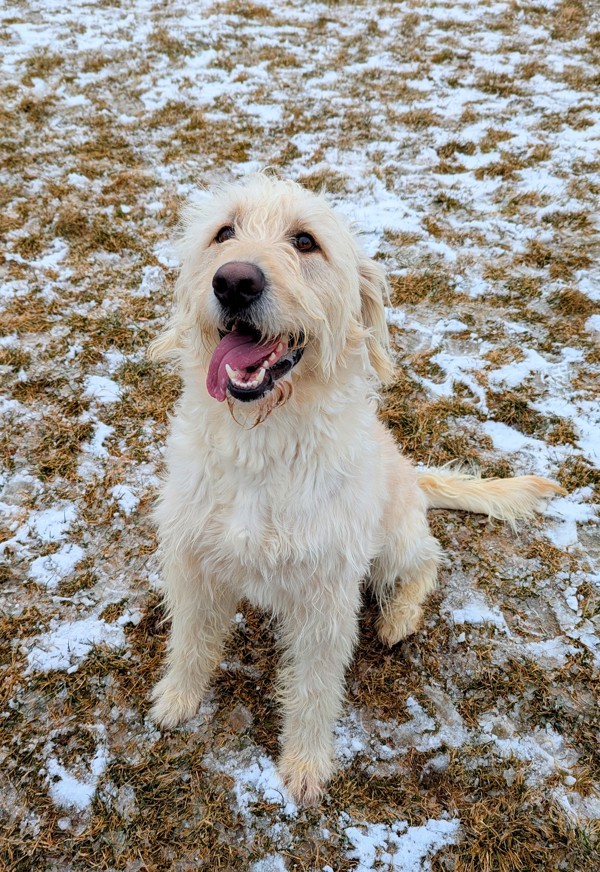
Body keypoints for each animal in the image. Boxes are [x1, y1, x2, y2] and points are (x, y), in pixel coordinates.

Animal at [148, 172, 564, 804]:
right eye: (223, 233)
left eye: (305, 241)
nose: (234, 281)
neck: (262, 443)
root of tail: (413, 473)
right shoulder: (193, 563)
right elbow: (191, 639)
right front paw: (177, 699)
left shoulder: (327, 598)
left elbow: (316, 687)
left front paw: (305, 764)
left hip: (392, 543)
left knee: (427, 562)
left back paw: (399, 618)